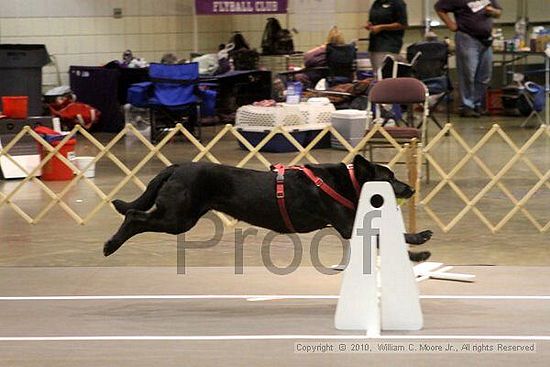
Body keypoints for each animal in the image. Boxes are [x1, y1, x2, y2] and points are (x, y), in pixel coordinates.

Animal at [103, 155, 434, 262]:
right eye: (389, 179)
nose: (411, 188)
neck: (350, 183)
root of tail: (176, 167)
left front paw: (419, 241)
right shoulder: (348, 224)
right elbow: (385, 236)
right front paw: (418, 252)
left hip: (180, 216)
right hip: (178, 217)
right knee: (134, 215)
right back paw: (111, 244)